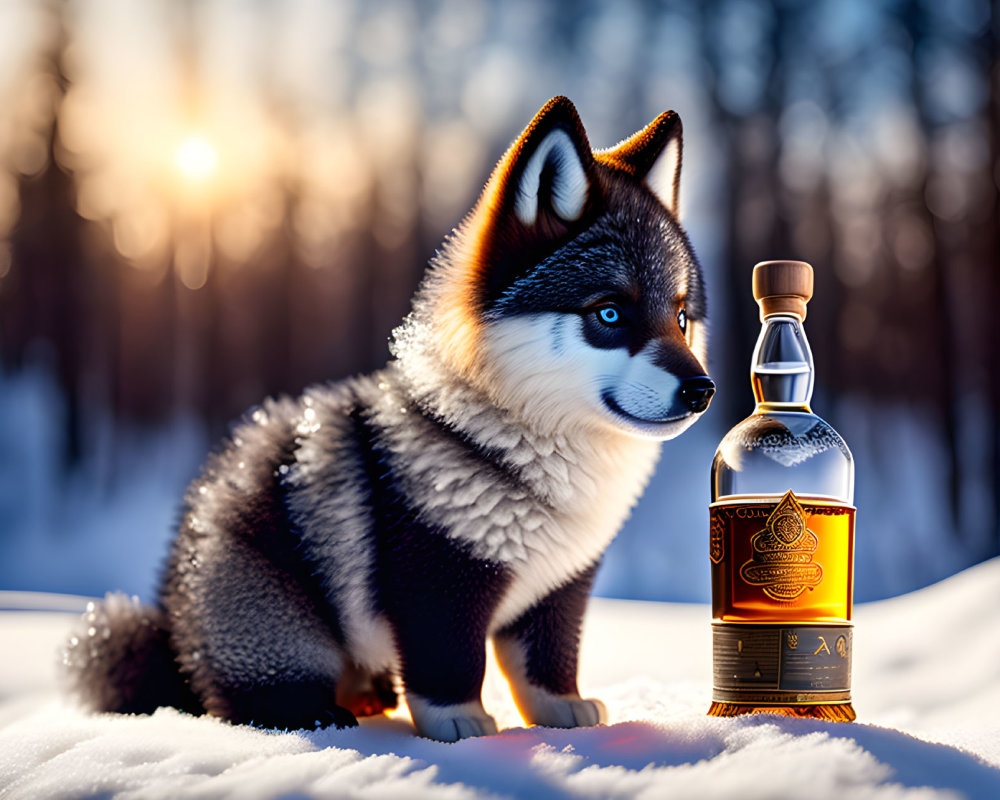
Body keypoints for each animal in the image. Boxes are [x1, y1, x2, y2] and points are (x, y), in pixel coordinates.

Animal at [64, 95, 712, 744]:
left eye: (681, 318)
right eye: (610, 313)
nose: (702, 390)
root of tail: (176, 627)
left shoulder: (558, 589)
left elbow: (545, 665)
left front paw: (562, 715)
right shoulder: (435, 579)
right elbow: (450, 665)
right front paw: (461, 725)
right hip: (274, 622)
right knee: (241, 696)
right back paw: (316, 711)